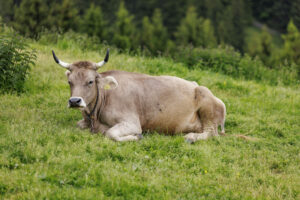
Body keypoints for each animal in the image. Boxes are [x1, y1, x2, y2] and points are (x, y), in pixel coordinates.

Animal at [52, 49, 225, 143]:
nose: (75, 101)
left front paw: (137, 137)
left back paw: (191, 137)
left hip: (207, 104)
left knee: (212, 133)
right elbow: (79, 125)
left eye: (90, 81)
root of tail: (195, 84)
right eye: (69, 82)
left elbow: (110, 133)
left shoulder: (132, 122)